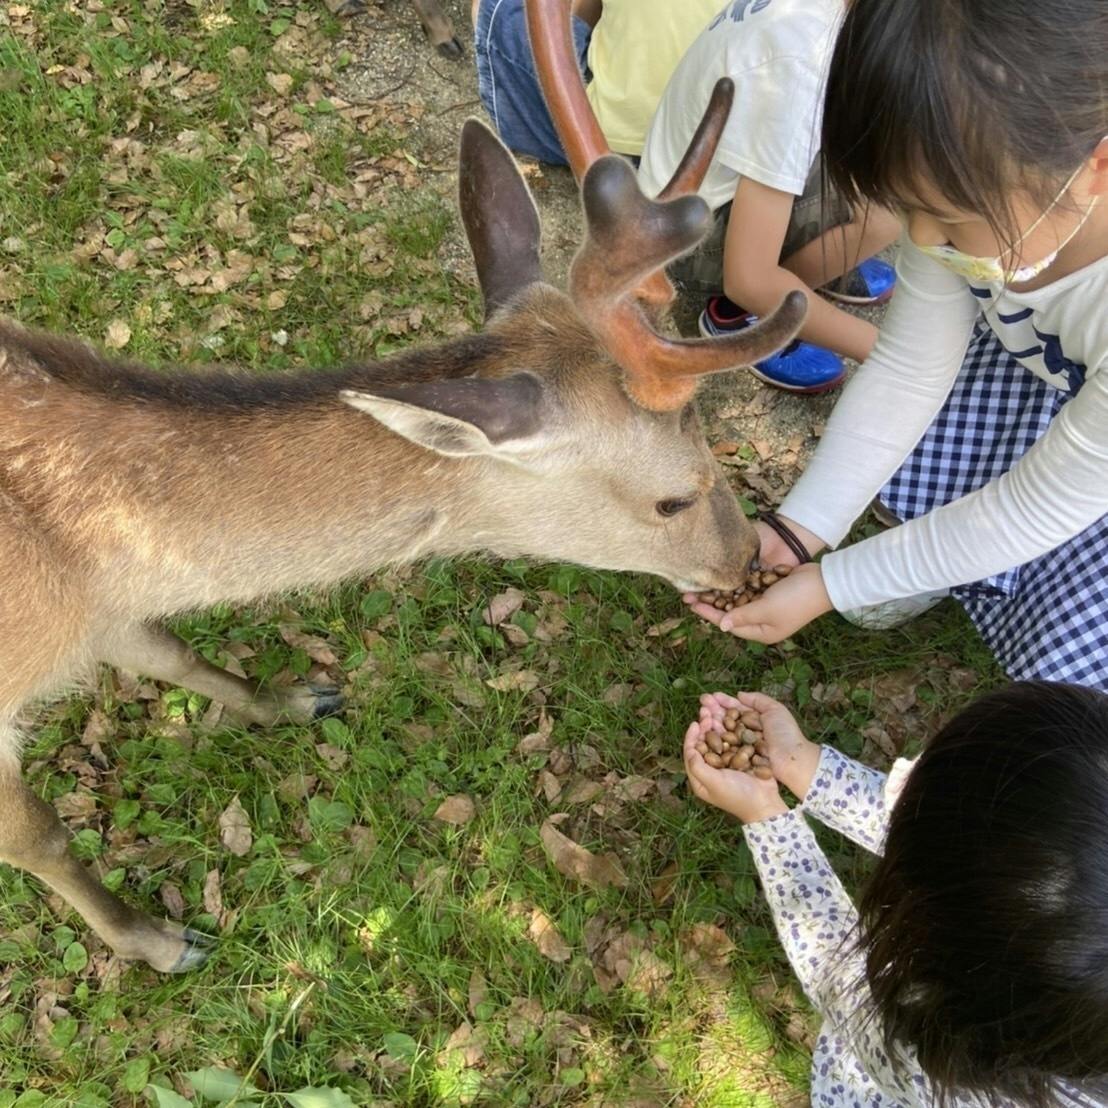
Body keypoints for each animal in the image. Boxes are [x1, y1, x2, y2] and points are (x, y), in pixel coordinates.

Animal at [0, 0, 806, 975]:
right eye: (674, 497)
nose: (744, 559)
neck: (70, 573)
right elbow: (40, 835)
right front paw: (160, 941)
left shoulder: (108, 613)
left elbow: (177, 653)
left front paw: (294, 698)